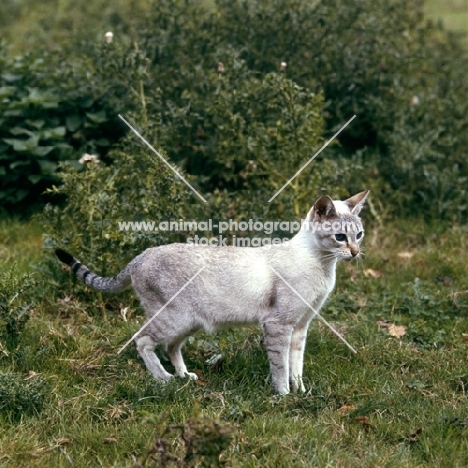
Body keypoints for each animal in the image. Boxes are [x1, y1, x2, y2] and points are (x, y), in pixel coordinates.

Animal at [55, 190, 370, 394]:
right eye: (339, 237)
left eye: (359, 234)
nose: (355, 253)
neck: (323, 267)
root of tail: (141, 255)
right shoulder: (278, 325)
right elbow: (280, 366)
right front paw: (284, 397)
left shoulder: (301, 327)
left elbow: (297, 366)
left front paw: (301, 392)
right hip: (174, 319)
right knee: (142, 341)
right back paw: (163, 379)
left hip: (188, 323)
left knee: (170, 347)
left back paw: (184, 376)